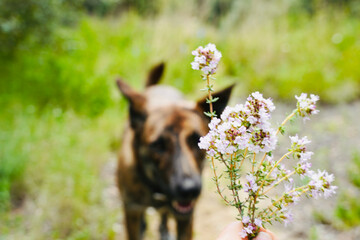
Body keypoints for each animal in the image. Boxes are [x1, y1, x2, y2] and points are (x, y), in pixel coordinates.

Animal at [115, 62, 233, 239]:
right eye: (158, 145)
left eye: (196, 141)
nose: (189, 190)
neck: (158, 191)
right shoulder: (132, 211)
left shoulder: (185, 219)